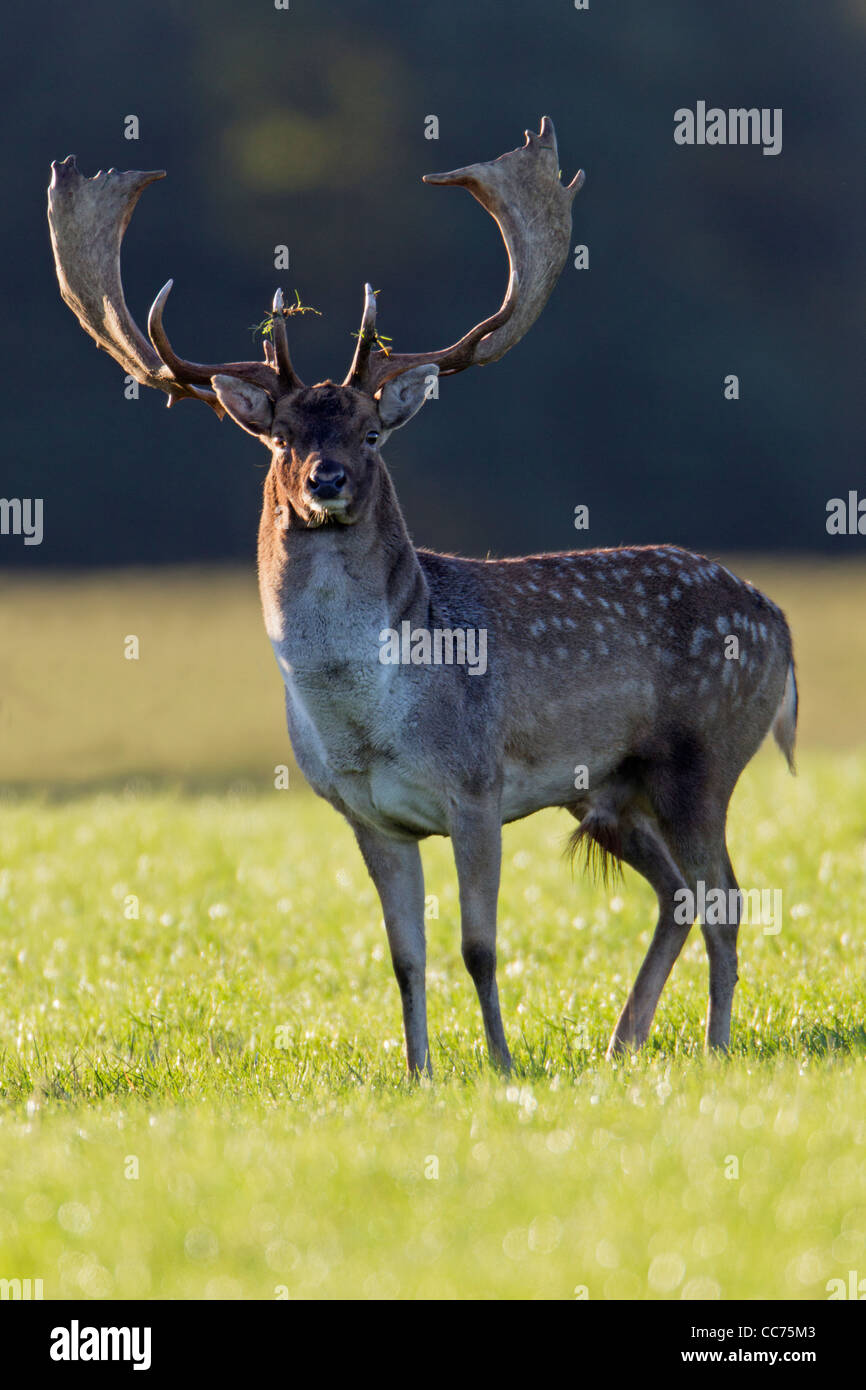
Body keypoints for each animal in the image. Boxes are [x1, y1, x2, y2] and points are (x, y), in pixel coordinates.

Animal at [45, 119, 795, 1073]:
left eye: (370, 432)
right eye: (281, 438)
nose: (326, 480)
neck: (369, 720)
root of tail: (777, 621)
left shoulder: (477, 787)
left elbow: (478, 946)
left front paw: (502, 1065)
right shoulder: (369, 818)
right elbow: (405, 957)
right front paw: (419, 1073)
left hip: (704, 755)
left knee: (726, 897)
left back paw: (715, 1045)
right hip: (611, 792)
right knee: (678, 896)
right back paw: (625, 1041)